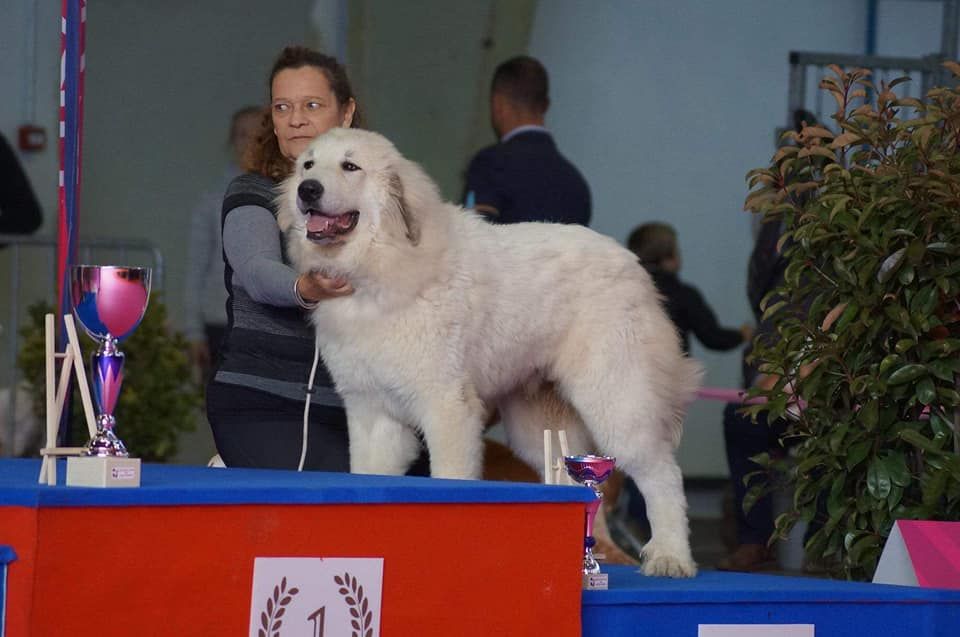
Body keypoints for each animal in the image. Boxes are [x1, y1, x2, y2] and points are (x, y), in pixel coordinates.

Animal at [282, 128, 700, 576]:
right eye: (307, 165)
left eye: (350, 166)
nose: (308, 189)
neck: (385, 262)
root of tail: (633, 265)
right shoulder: (371, 412)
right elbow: (368, 478)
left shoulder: (446, 406)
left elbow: (449, 480)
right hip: (542, 428)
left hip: (616, 401)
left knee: (662, 474)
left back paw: (671, 556)